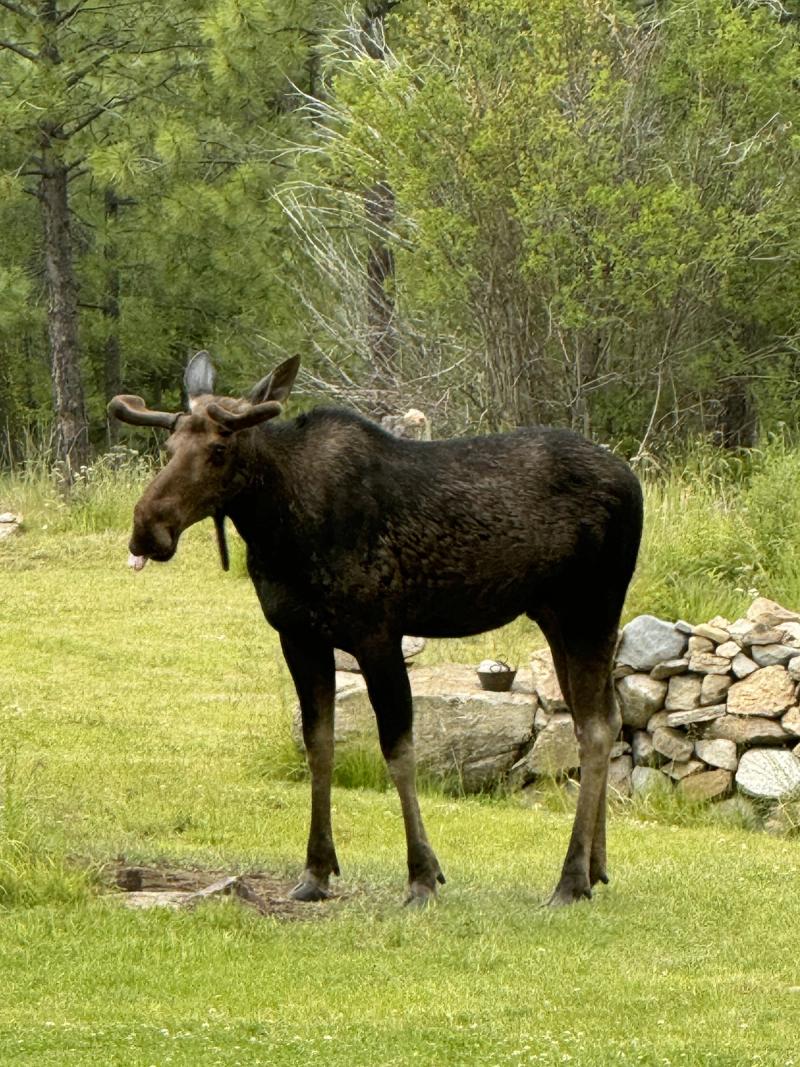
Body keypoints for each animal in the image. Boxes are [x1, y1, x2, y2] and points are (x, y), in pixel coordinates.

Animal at [109, 352, 643, 907]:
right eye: (169, 447)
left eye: (218, 449)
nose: (147, 528)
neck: (277, 526)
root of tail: (634, 482)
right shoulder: (298, 635)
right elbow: (319, 744)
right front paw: (317, 870)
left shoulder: (377, 633)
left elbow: (399, 751)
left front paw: (423, 874)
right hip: (555, 616)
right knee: (602, 717)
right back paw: (596, 867)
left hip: (591, 608)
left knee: (596, 728)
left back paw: (571, 879)